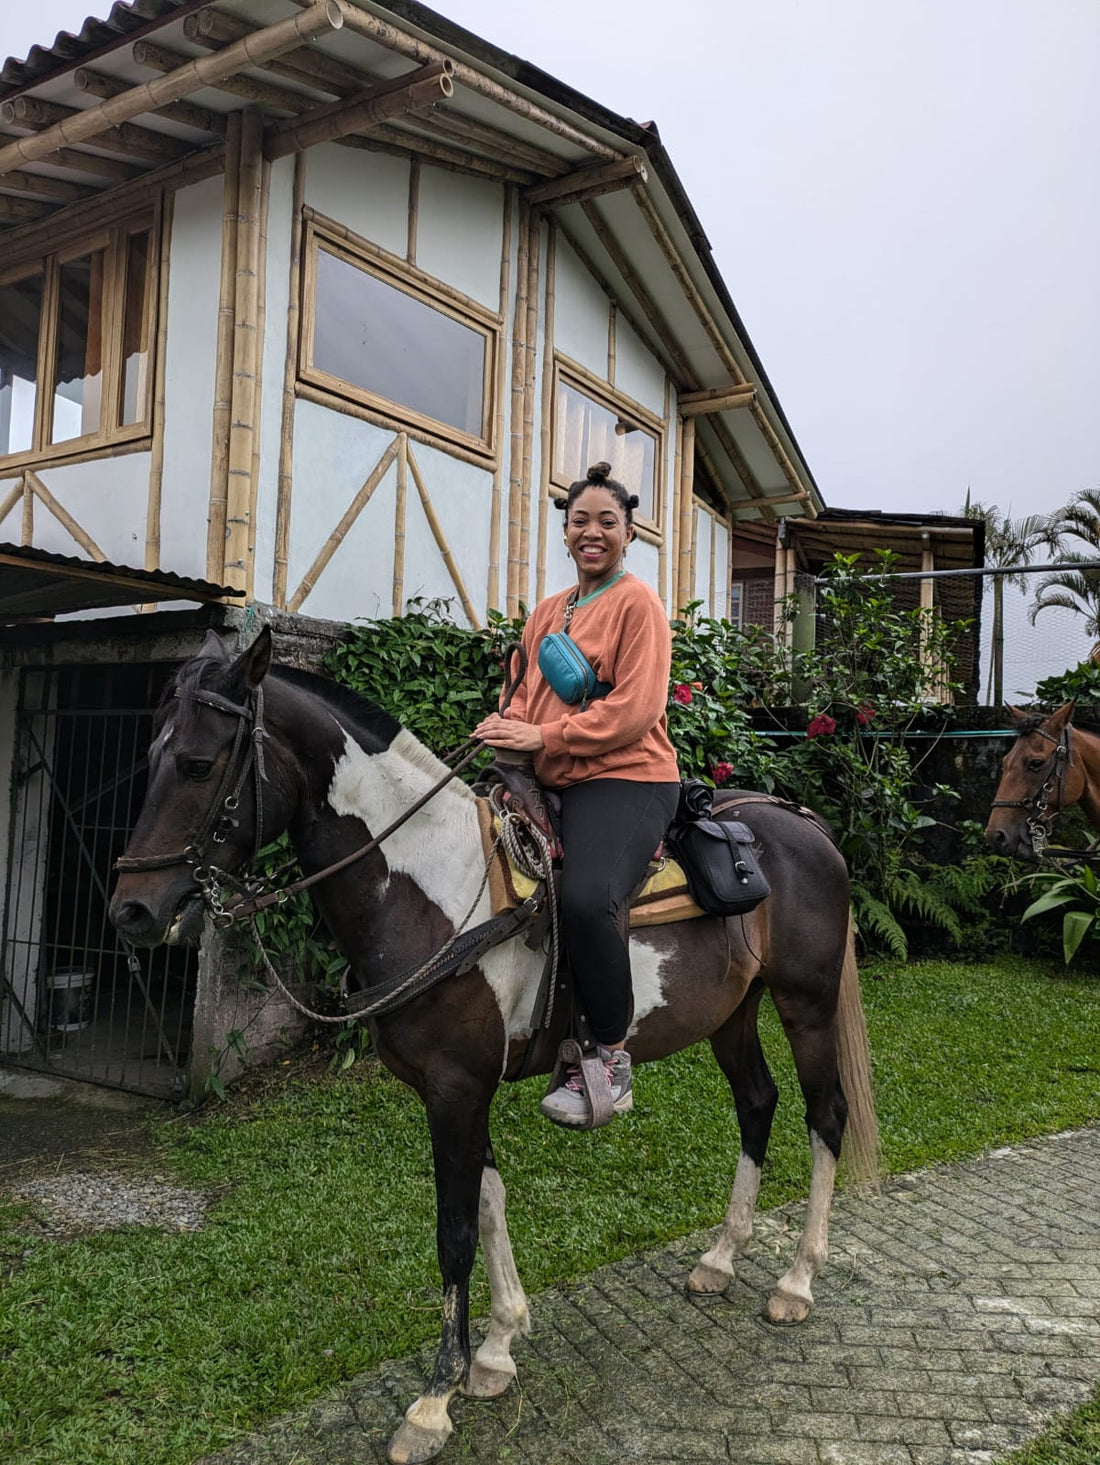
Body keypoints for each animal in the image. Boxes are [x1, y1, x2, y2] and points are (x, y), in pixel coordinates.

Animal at [109, 627, 878, 1465]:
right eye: (149, 757)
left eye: (196, 763)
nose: (130, 910)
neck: (427, 888)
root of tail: (806, 824)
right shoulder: (452, 1085)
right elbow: (489, 1197)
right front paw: (498, 1348)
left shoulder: (455, 1087)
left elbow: (453, 1233)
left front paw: (432, 1400)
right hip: (732, 1013)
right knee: (756, 1103)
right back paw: (720, 1258)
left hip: (805, 1003)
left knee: (825, 1115)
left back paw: (796, 1281)